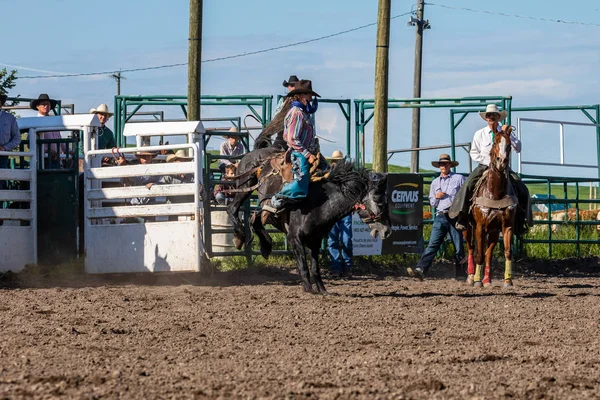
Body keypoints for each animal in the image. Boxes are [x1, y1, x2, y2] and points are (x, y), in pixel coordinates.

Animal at [227, 159, 392, 294]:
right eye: (379, 203)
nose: (388, 231)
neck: (320, 206)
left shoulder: (315, 241)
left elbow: (314, 268)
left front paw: (323, 290)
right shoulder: (294, 238)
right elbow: (303, 266)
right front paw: (309, 289)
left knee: (255, 219)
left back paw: (264, 245)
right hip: (247, 185)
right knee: (235, 209)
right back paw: (241, 236)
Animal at [466, 126, 516, 286]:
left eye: (509, 144)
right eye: (494, 142)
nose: (502, 161)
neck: (495, 193)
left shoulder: (507, 226)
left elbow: (507, 252)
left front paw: (508, 280)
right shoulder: (480, 227)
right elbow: (479, 254)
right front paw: (477, 281)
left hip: (493, 231)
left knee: (488, 253)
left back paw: (487, 279)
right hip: (467, 229)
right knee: (471, 248)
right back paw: (471, 276)